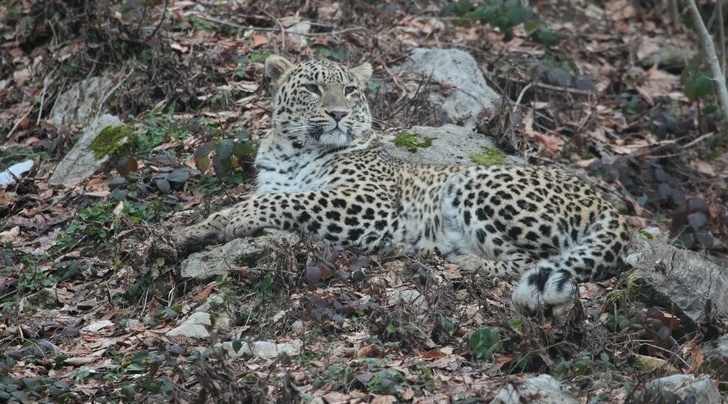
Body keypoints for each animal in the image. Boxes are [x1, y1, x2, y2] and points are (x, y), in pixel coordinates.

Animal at [178, 54, 632, 312]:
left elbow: (290, 201)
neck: (293, 150)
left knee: (534, 259)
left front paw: (239, 220)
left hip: (474, 183)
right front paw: (188, 233)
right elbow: (231, 210)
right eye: (312, 87)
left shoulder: (368, 203)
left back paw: (467, 262)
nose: (339, 114)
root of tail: (607, 204)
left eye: (350, 89)